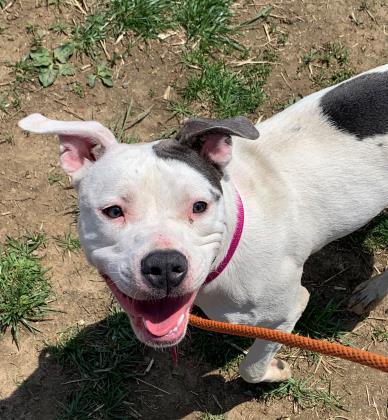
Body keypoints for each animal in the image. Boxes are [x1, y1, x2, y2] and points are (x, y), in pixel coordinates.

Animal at [18, 64, 388, 382]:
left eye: (199, 206)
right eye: (113, 211)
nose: (165, 265)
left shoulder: (286, 310)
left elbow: (251, 367)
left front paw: (276, 371)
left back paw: (372, 290)